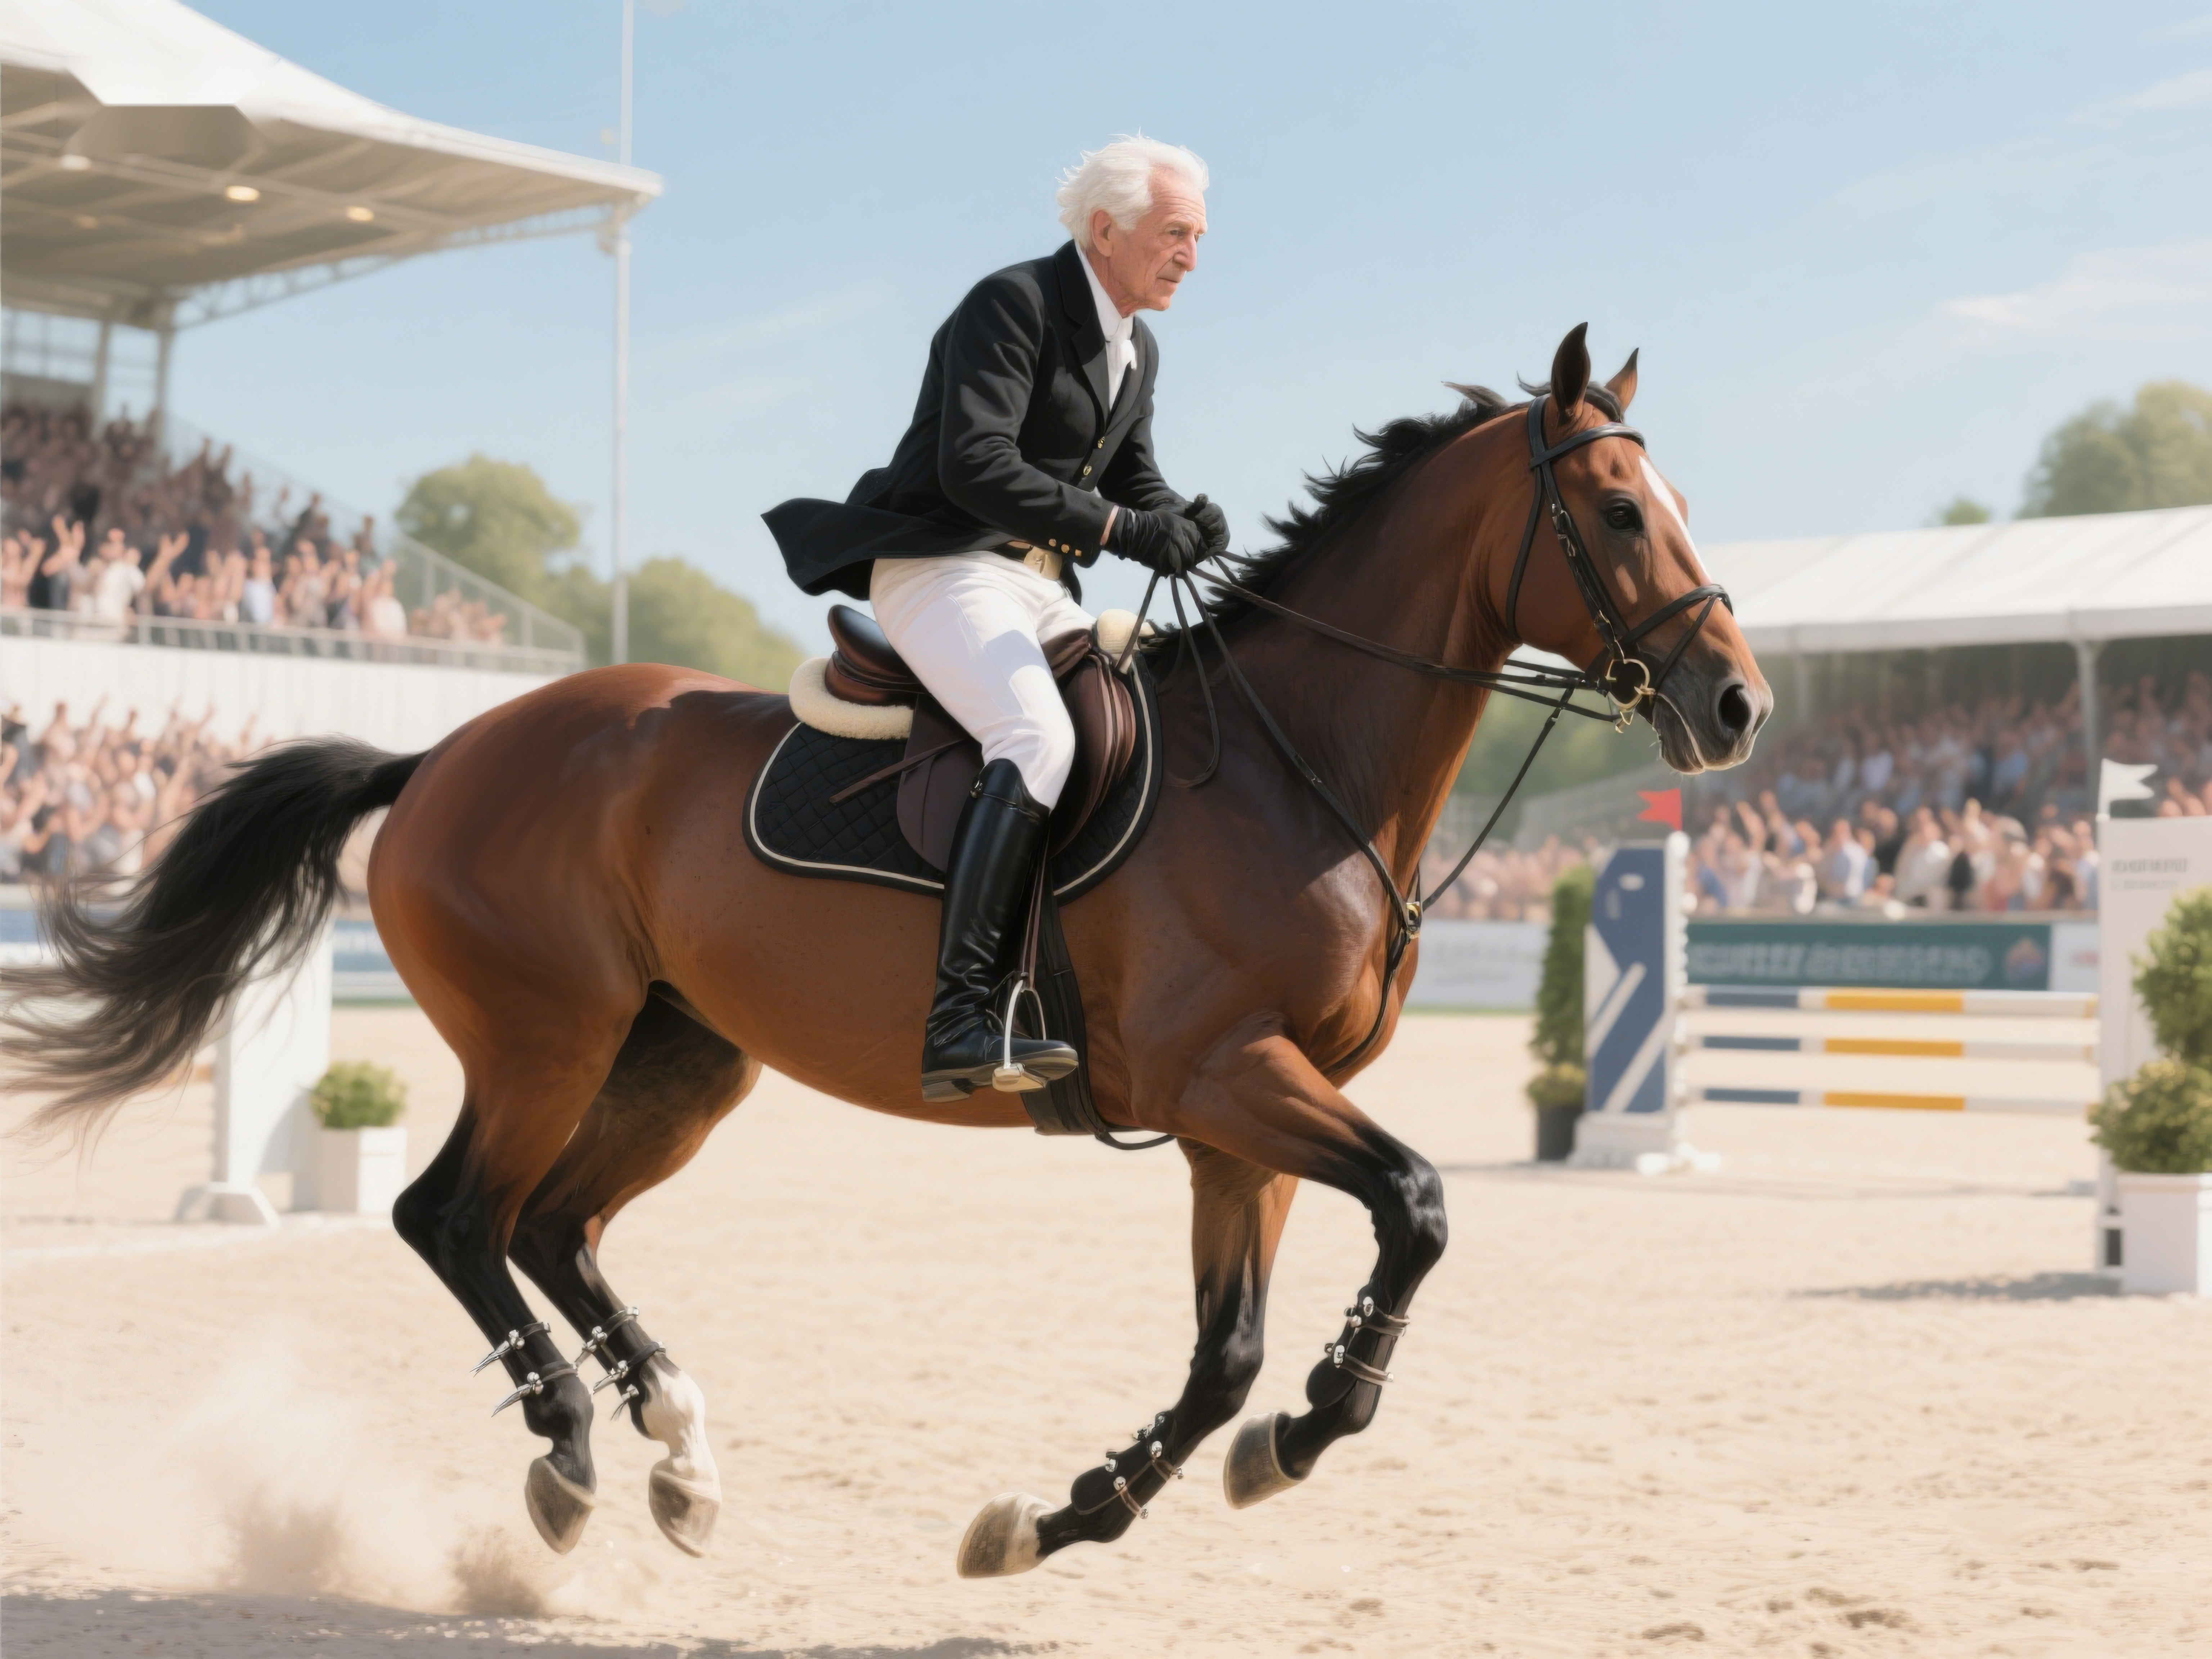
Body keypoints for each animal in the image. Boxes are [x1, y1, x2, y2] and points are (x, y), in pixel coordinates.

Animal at [7, 324, 1769, 1577]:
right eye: (1618, 510)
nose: (1738, 705)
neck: (1296, 761)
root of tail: (441, 750)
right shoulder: (1228, 1076)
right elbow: (1415, 1203)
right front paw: (1296, 1432)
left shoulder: (1238, 1118)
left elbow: (1229, 1350)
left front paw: (1072, 1510)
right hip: (542, 1036)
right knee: (455, 1214)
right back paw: (573, 1453)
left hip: (680, 1056)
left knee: (557, 1224)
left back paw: (679, 1452)